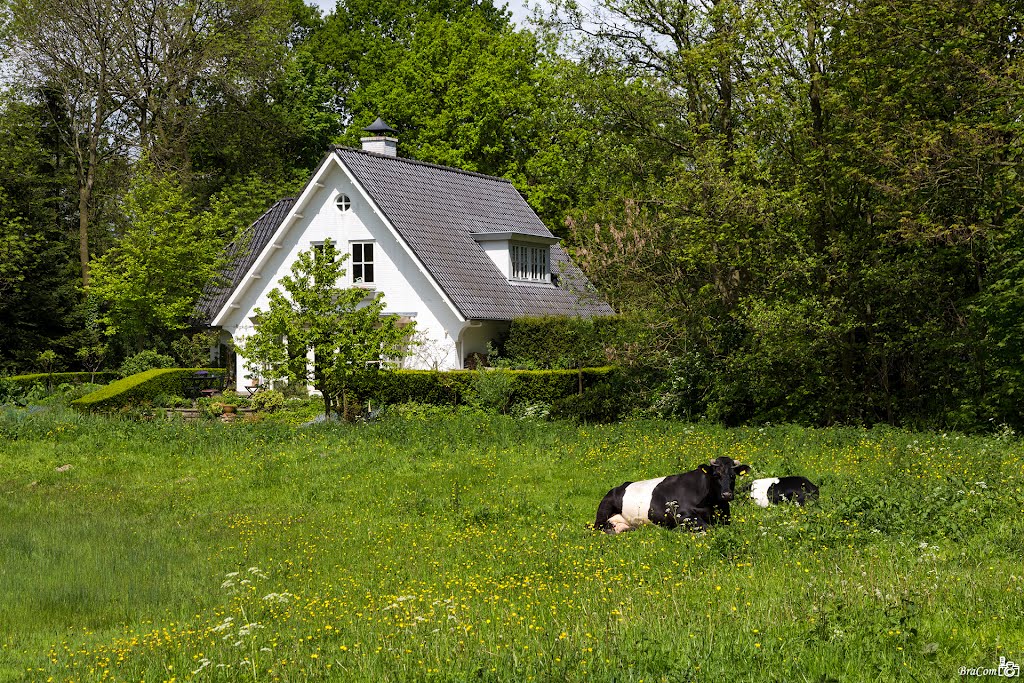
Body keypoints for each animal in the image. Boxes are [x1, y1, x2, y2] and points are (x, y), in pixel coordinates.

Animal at [593, 458, 753, 532]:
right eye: (715, 475)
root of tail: (618, 487)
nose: (727, 495)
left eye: (733, 476)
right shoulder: (681, 514)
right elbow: (707, 527)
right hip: (603, 511)